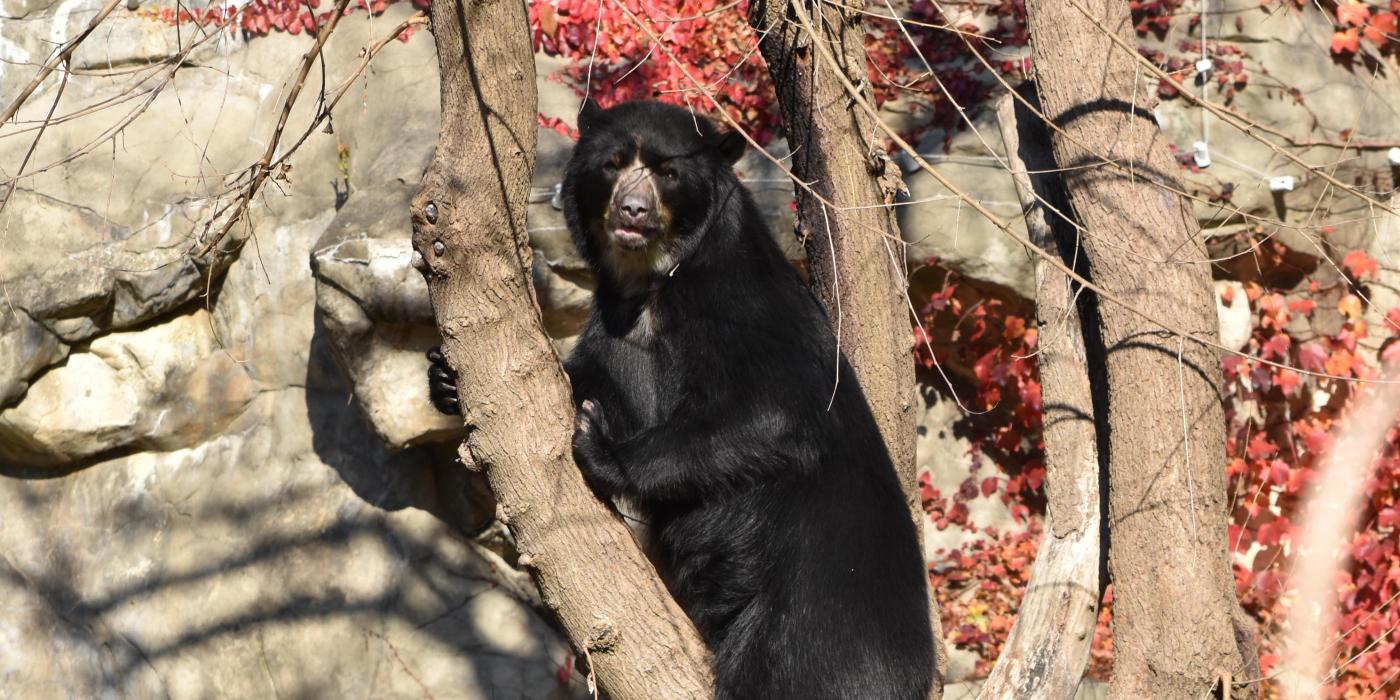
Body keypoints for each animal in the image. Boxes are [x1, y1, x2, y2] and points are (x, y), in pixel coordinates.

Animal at [425, 100, 929, 700]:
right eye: (613, 164)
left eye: (667, 172)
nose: (632, 210)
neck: (653, 277)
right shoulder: (618, 323)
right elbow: (604, 378)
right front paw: (444, 378)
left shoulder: (741, 307)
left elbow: (773, 412)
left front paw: (598, 445)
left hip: (808, 625)